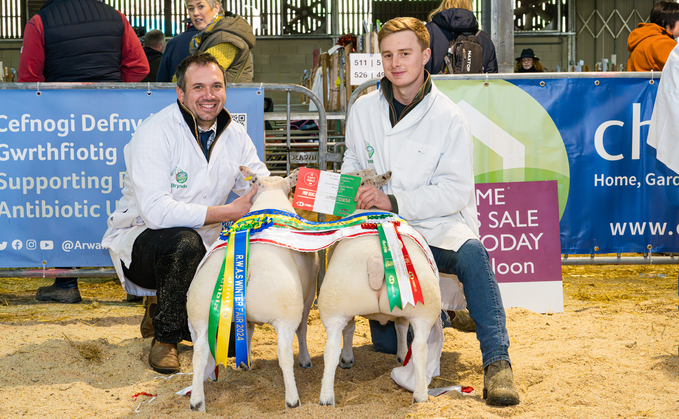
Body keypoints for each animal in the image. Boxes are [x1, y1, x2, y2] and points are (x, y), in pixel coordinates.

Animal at [186, 166, 318, 412]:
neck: (270, 196)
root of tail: (245, 266)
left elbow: (245, 332)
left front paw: (244, 362)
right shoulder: (309, 294)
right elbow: (303, 330)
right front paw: (305, 360)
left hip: (201, 313)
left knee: (199, 352)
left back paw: (197, 401)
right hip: (286, 312)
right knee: (284, 352)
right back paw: (292, 399)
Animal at [318, 171, 444, 406]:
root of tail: (376, 260)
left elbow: (351, 329)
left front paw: (347, 358)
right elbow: (401, 326)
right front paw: (401, 353)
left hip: (335, 305)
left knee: (331, 348)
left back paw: (326, 397)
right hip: (424, 309)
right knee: (420, 348)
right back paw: (421, 394)